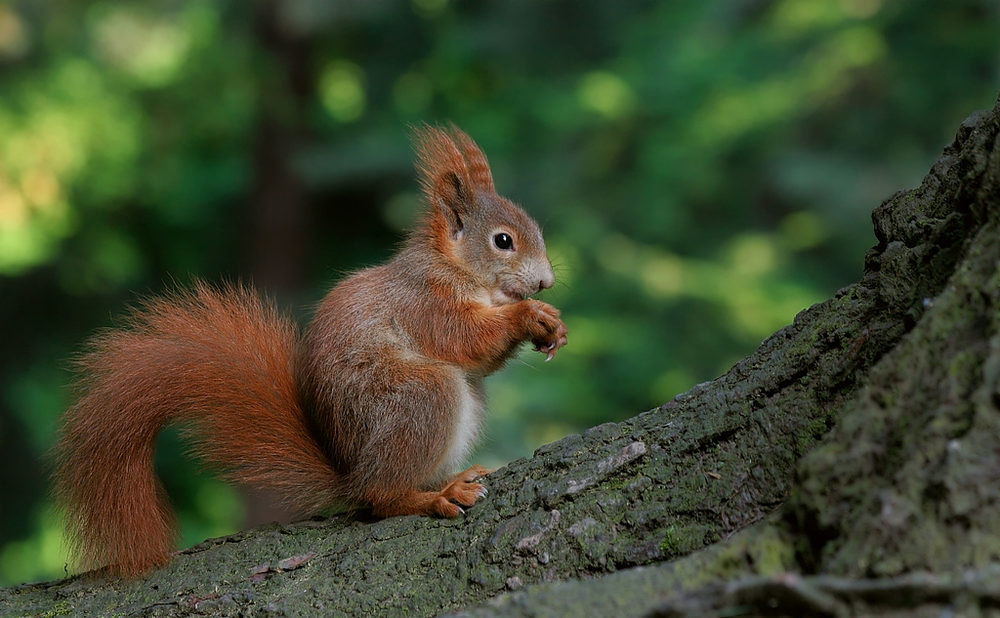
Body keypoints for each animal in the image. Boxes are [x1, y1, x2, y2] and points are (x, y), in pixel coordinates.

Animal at [54, 126, 568, 576]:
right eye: (503, 240)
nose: (546, 281)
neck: (451, 267)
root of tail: (351, 472)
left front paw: (552, 325)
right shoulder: (424, 305)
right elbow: (465, 340)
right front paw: (529, 315)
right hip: (419, 396)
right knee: (381, 497)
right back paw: (433, 496)